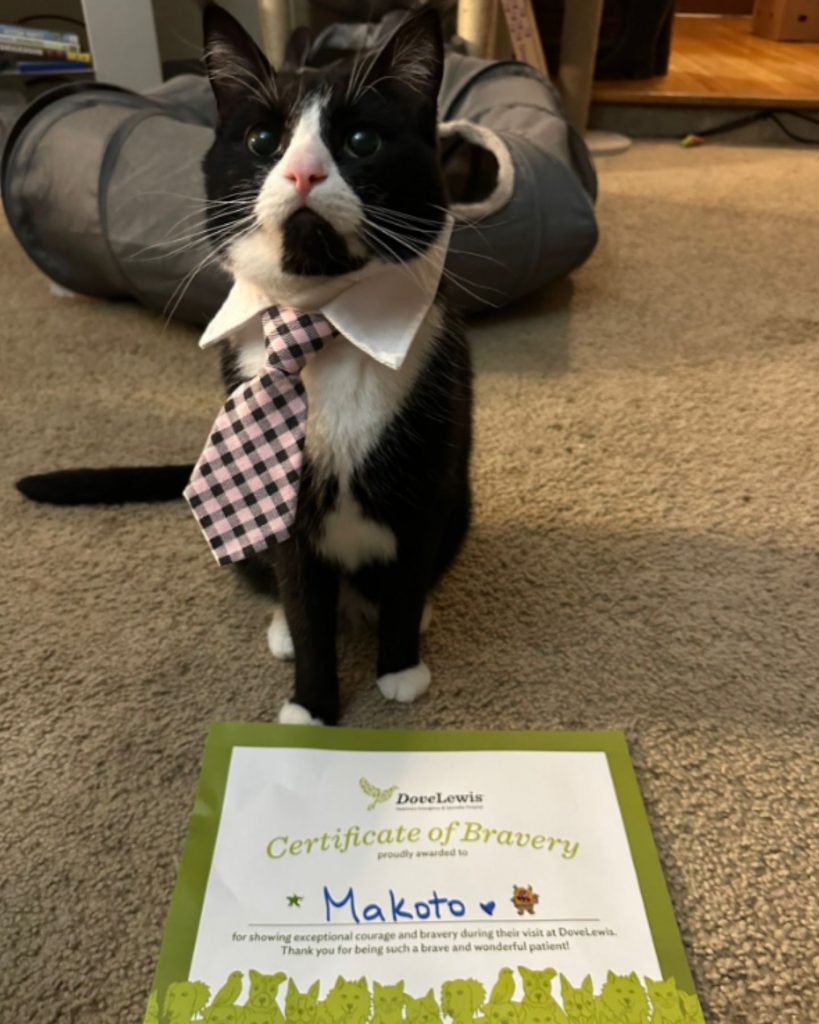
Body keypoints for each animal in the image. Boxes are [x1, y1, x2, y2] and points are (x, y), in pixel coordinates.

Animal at [15, 0, 470, 724]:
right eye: (262, 141)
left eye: (361, 142)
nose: (304, 172)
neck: (318, 323)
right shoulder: (281, 506)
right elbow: (305, 604)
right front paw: (312, 707)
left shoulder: (426, 478)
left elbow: (403, 578)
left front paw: (400, 668)